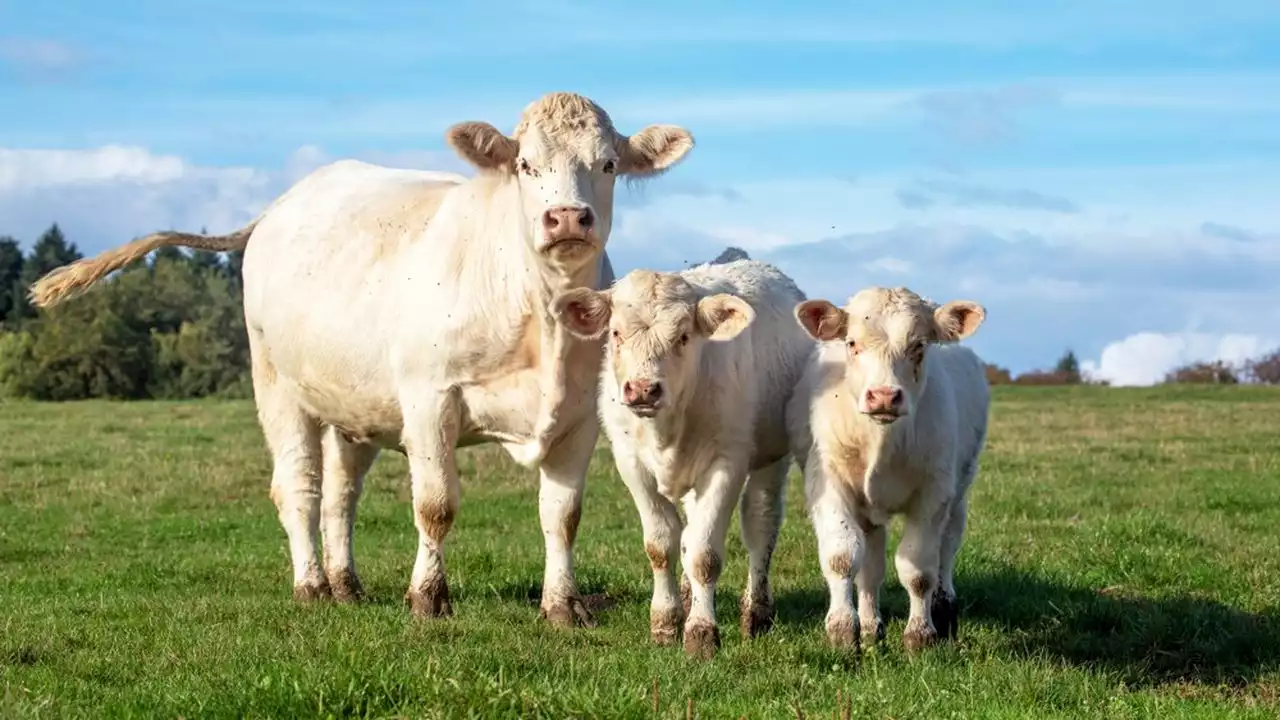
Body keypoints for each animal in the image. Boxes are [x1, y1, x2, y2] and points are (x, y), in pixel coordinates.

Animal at [30, 90, 696, 627]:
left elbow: (562, 515)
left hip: (352, 409)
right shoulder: (430, 400)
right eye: (525, 165)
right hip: (276, 385)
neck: (539, 315)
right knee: (297, 488)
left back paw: (345, 584)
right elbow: (435, 505)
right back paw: (310, 585)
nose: (568, 218)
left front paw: (562, 607)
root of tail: (280, 207)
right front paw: (428, 599)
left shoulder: (580, 417)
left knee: (339, 497)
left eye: (607, 165)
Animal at [783, 285, 993, 650]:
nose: (883, 396)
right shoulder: (828, 483)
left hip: (960, 489)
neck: (881, 440)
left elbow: (918, 569)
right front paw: (843, 629)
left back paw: (945, 610)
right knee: (871, 567)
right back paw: (870, 626)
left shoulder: (933, 493)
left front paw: (920, 634)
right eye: (851, 343)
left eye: (918, 345)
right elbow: (842, 557)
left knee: (947, 547)